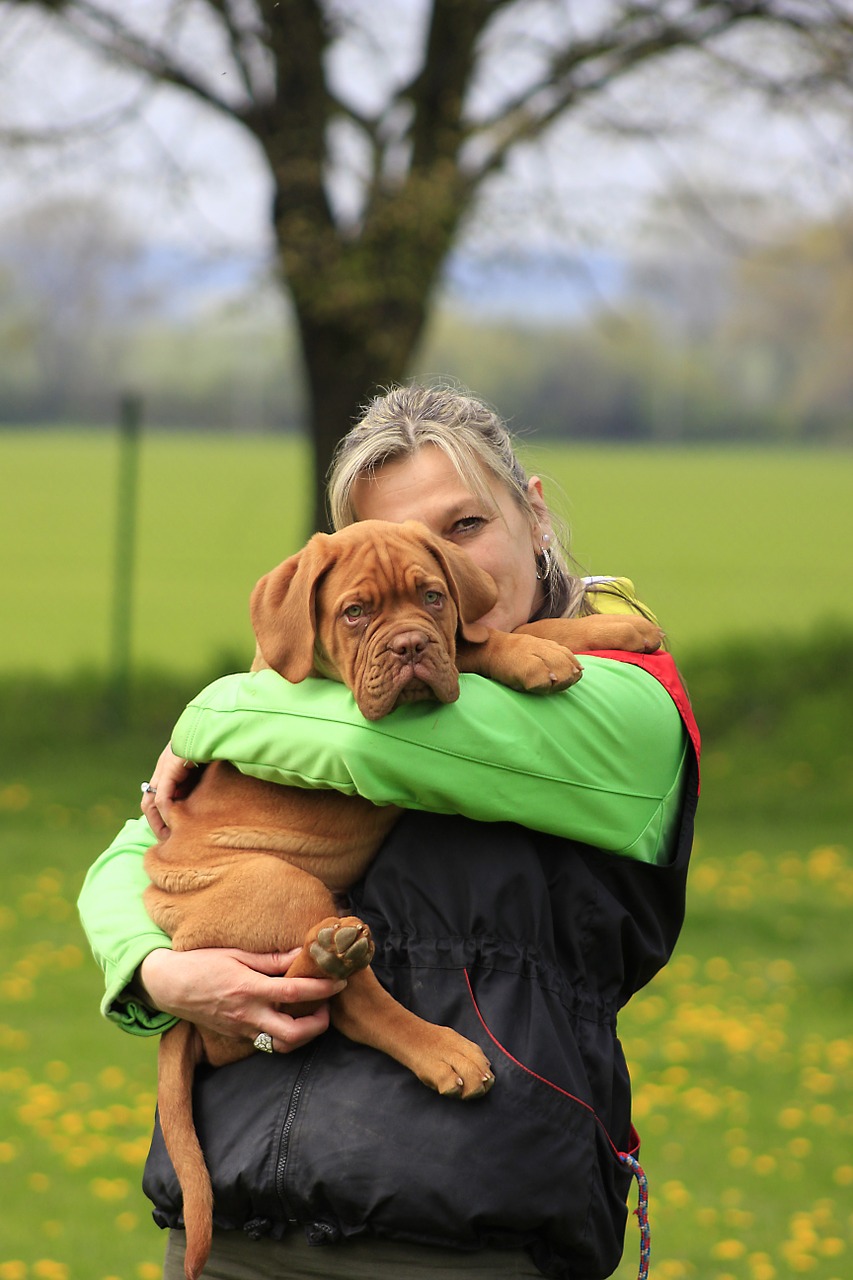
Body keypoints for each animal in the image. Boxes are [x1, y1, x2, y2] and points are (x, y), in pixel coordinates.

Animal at [142, 514, 660, 1274]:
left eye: (432, 597)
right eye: (355, 613)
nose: (411, 644)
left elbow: (488, 632)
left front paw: (617, 630)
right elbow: (479, 647)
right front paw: (533, 656)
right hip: (280, 883)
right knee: (350, 1004)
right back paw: (415, 1027)